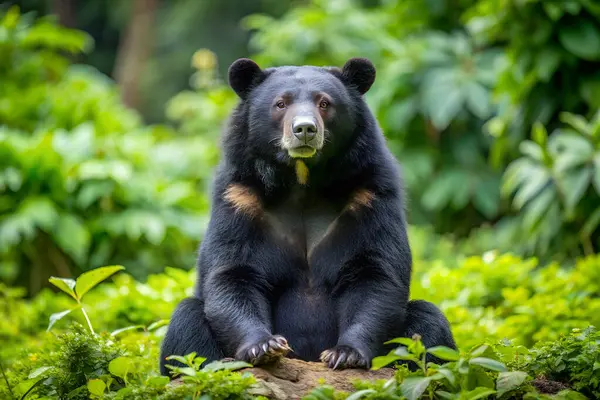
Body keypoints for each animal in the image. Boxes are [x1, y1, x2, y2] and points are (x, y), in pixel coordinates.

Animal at [159, 57, 454, 376]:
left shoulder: (370, 196)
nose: (304, 129)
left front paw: (345, 354)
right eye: (280, 103)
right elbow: (234, 272)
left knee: (430, 322)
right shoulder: (239, 200)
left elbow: (374, 271)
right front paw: (264, 346)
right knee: (186, 320)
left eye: (325, 103)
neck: (303, 180)